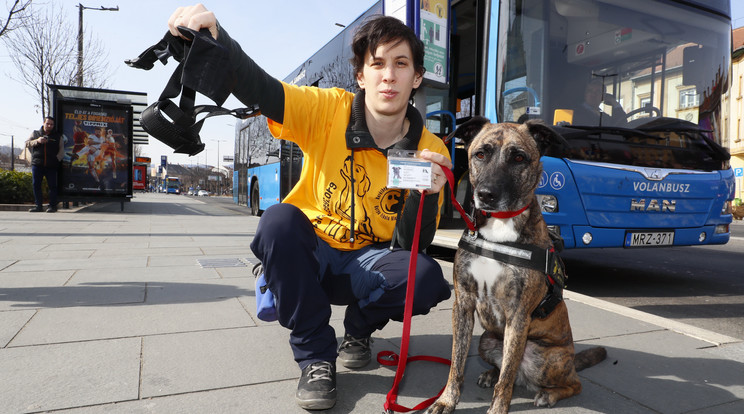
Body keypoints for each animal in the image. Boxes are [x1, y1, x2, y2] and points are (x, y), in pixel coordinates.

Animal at [428, 117, 608, 414]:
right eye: (480, 154)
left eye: (519, 158)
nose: (486, 195)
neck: (499, 228)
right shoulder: (463, 304)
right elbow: (457, 362)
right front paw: (446, 400)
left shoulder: (518, 315)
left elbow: (508, 376)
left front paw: (498, 409)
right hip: (488, 339)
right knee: (503, 367)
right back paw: (491, 374)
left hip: (541, 357)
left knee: (571, 383)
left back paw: (548, 394)